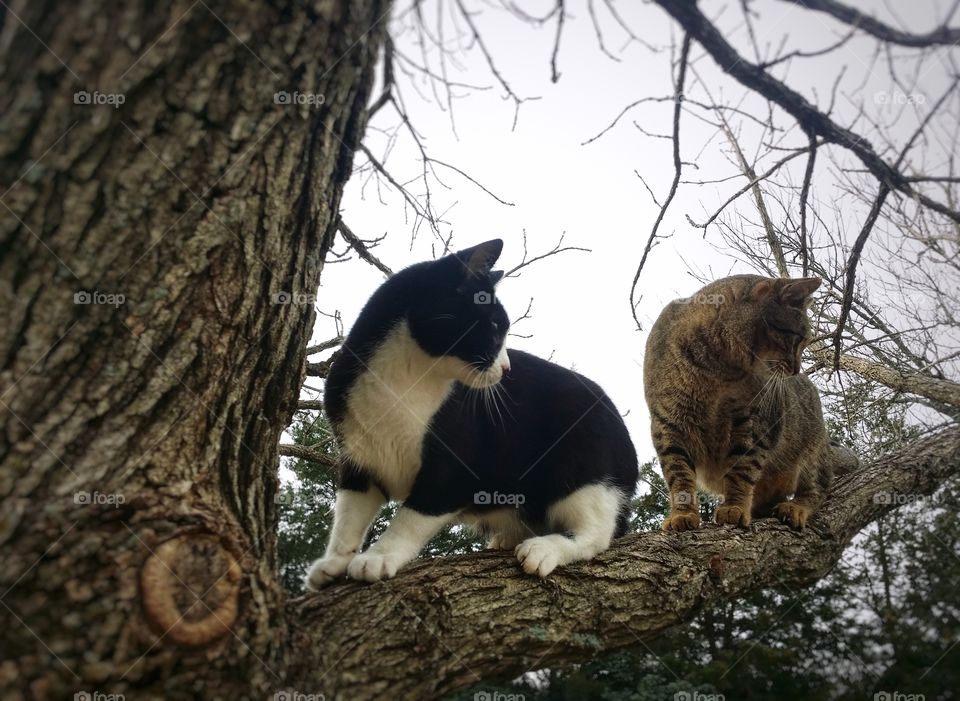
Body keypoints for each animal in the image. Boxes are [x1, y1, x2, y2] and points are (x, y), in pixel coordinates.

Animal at [308, 238, 636, 588]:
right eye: (494, 326)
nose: (506, 368)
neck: (400, 381)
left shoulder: (451, 471)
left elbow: (410, 517)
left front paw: (379, 556)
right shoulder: (359, 458)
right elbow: (348, 513)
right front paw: (334, 561)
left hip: (584, 460)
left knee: (597, 533)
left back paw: (543, 548)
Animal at [644, 276, 856, 528]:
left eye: (805, 342)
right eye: (798, 339)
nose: (797, 370)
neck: (717, 372)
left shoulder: (755, 424)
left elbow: (741, 470)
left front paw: (734, 507)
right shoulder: (668, 422)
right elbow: (678, 473)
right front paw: (682, 514)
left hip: (812, 455)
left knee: (817, 489)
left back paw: (795, 507)